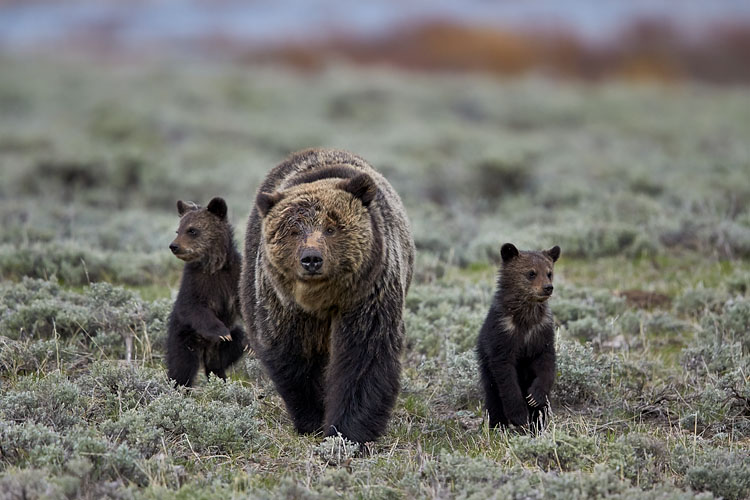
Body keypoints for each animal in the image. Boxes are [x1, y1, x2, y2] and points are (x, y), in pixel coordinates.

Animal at [242, 147, 414, 442]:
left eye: (331, 228)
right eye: (293, 231)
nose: (311, 259)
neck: (323, 298)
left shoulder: (368, 295)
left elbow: (364, 357)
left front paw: (349, 429)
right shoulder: (285, 306)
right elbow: (293, 357)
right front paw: (312, 418)